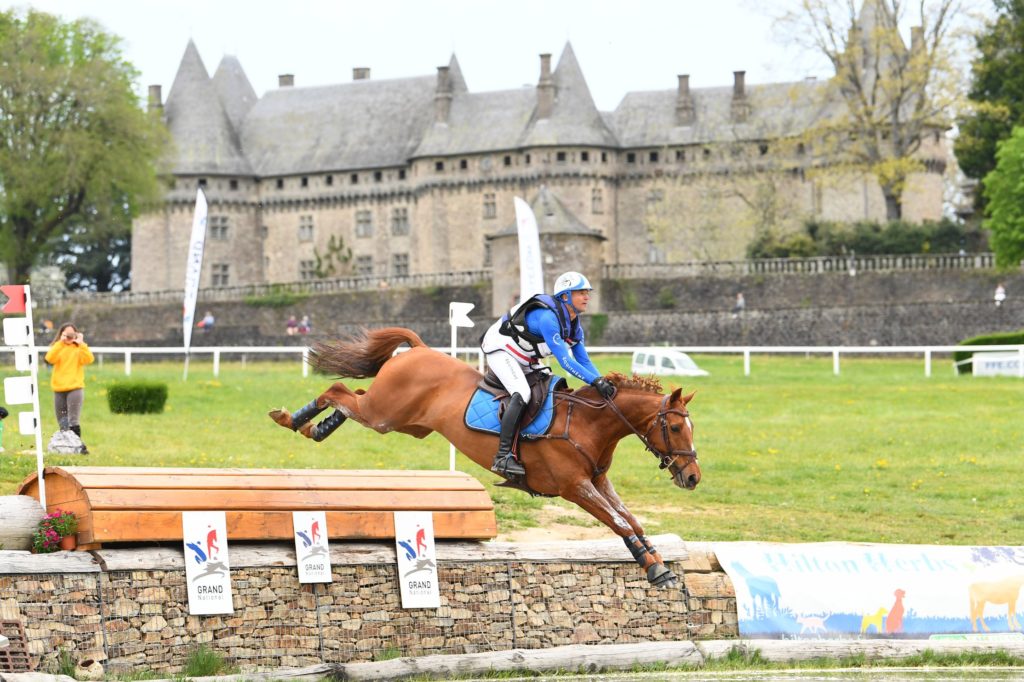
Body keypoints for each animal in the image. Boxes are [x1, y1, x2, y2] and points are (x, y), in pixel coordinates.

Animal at [268, 327, 700, 581]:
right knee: (339, 390)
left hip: (402, 420)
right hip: (383, 414)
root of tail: (419, 350)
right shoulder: (575, 487)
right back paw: (292, 418)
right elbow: (620, 522)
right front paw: (654, 568)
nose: (693, 477)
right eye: (677, 428)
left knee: (351, 397)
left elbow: (630, 519)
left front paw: (654, 558)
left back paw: (314, 427)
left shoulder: (598, 481)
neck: (588, 424)